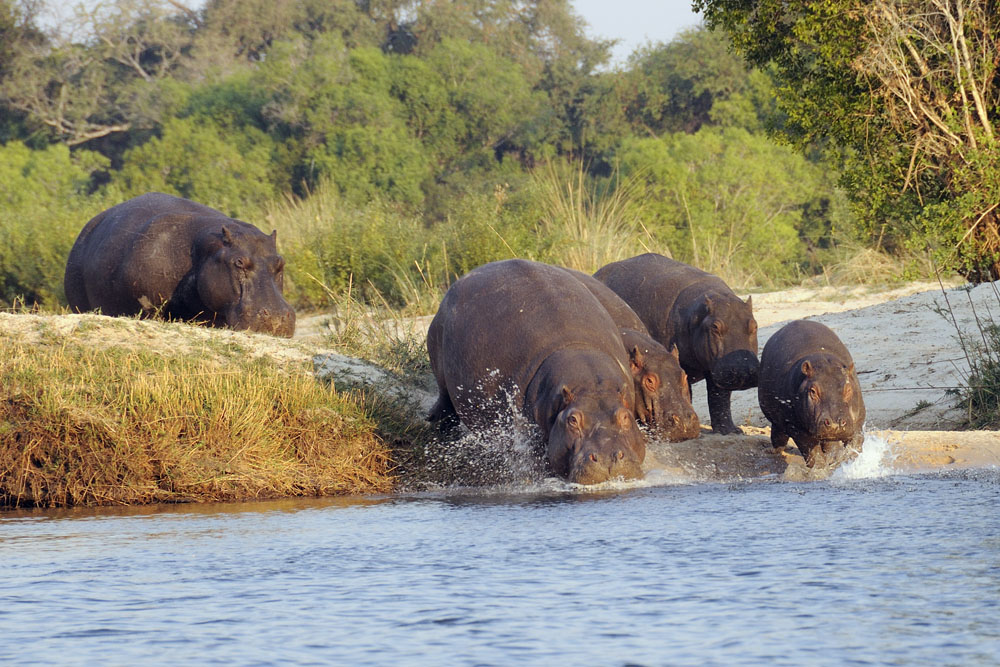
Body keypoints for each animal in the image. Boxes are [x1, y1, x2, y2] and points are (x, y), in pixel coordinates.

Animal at [426, 259, 645, 484]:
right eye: (572, 420)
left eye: (625, 417)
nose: (607, 458)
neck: (588, 385)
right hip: (440, 371)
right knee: (445, 406)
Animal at [594, 253, 759, 434]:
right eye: (715, 327)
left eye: (754, 325)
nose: (743, 370)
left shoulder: (715, 368)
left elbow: (719, 397)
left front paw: (731, 431)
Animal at [758, 320, 866, 467]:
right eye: (813, 391)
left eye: (848, 389)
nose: (835, 424)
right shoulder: (796, 428)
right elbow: (813, 453)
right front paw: (821, 469)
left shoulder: (858, 422)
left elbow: (855, 445)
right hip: (778, 421)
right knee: (778, 434)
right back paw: (771, 451)